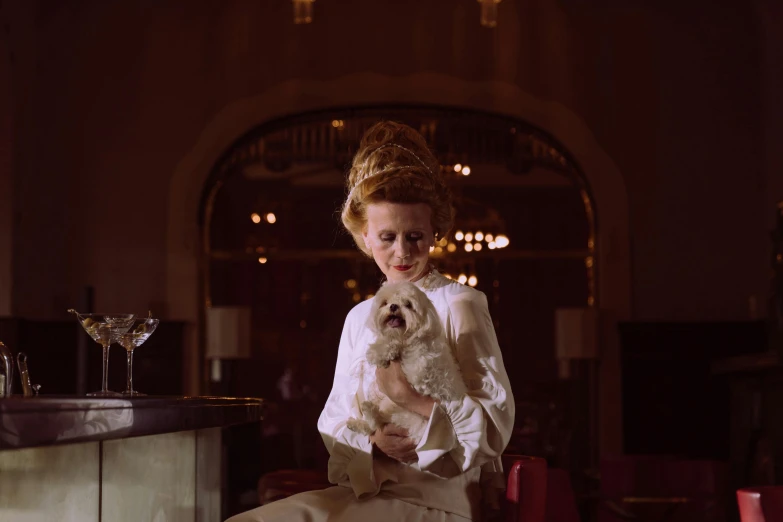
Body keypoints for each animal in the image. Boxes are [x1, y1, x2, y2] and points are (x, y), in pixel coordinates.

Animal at [344, 280, 466, 442]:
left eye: (408, 304)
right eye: (385, 303)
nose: (393, 306)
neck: (405, 338)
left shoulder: (421, 372)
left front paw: (380, 352)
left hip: (413, 419)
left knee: (380, 422)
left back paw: (370, 412)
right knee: (377, 424)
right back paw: (360, 420)